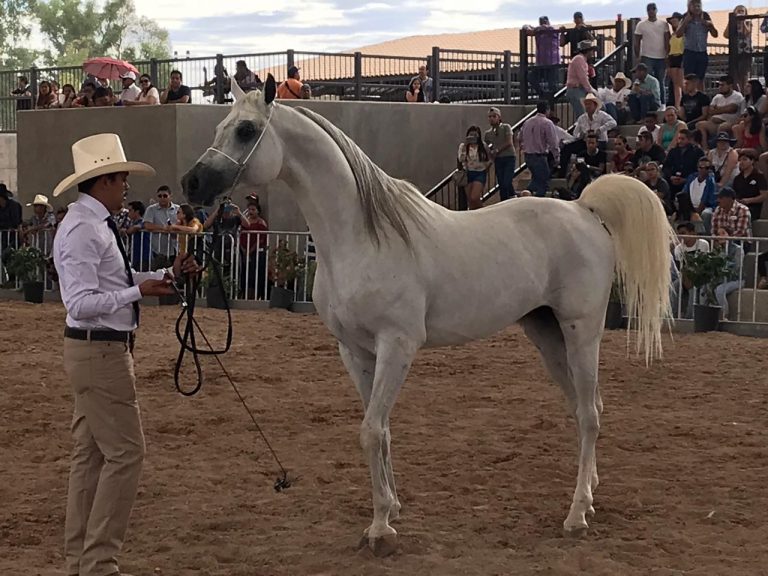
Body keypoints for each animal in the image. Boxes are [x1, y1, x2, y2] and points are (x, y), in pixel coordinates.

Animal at [181, 74, 675, 556]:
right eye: (220, 127)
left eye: (246, 130)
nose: (192, 184)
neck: (361, 237)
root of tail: (583, 209)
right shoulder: (354, 350)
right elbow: (379, 430)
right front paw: (391, 509)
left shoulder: (397, 345)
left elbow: (371, 430)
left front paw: (380, 529)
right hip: (547, 334)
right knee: (584, 408)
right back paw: (588, 495)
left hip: (581, 331)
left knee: (590, 413)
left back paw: (575, 516)